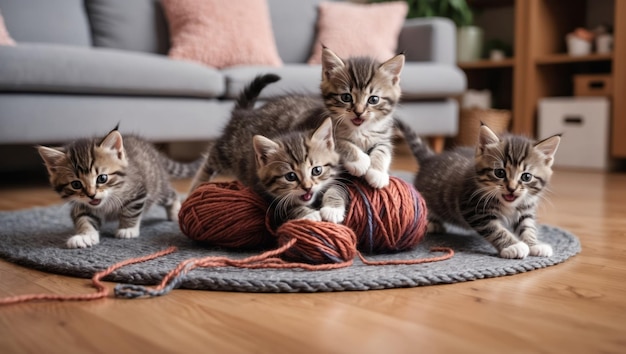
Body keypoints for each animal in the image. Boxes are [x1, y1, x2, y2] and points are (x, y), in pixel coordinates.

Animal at [37, 128, 199, 249]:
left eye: (102, 178)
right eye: (76, 184)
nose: (91, 195)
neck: (107, 201)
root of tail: (154, 151)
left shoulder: (137, 193)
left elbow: (130, 211)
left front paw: (127, 229)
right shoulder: (81, 205)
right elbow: (84, 219)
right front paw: (85, 236)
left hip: (157, 187)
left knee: (171, 194)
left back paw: (175, 212)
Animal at [190, 73, 346, 225]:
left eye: (317, 170)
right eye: (290, 176)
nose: (308, 187)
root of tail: (243, 114)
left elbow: (338, 187)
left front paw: (332, 210)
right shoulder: (263, 192)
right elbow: (287, 207)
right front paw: (309, 214)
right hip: (226, 151)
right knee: (209, 159)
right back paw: (196, 187)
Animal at [398, 121, 560, 260]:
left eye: (526, 177)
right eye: (500, 173)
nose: (512, 188)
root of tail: (430, 159)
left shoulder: (525, 208)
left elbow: (528, 226)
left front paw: (534, 244)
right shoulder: (473, 208)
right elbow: (495, 229)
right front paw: (514, 246)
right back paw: (431, 222)